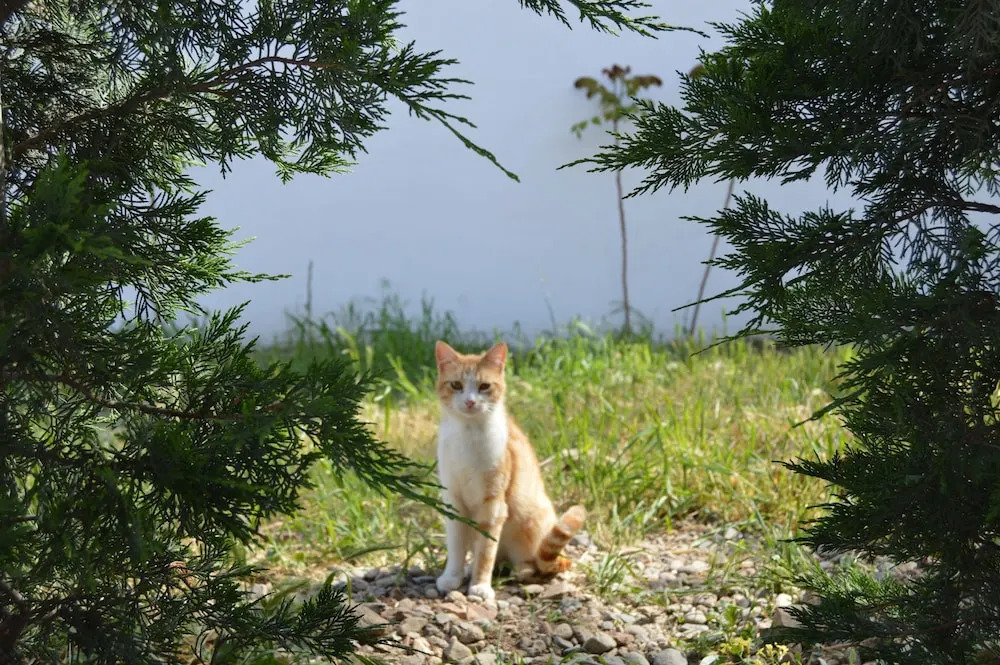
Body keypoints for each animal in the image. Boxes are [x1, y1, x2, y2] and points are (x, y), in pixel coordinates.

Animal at [433, 340, 586, 600]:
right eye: (456, 385)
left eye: (484, 386)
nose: (470, 402)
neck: (467, 436)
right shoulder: (453, 500)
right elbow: (455, 546)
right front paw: (452, 577)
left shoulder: (493, 505)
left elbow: (486, 551)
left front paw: (480, 586)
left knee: (531, 563)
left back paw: (518, 570)